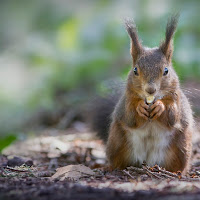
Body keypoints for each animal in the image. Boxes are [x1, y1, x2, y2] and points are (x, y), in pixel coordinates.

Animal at [91, 15, 194, 175]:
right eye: (135, 70)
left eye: (166, 70)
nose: (150, 90)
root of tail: (148, 163)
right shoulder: (127, 101)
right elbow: (130, 117)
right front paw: (140, 107)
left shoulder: (176, 100)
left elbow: (173, 116)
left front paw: (160, 106)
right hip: (117, 142)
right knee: (118, 161)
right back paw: (110, 167)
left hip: (181, 147)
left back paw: (177, 172)